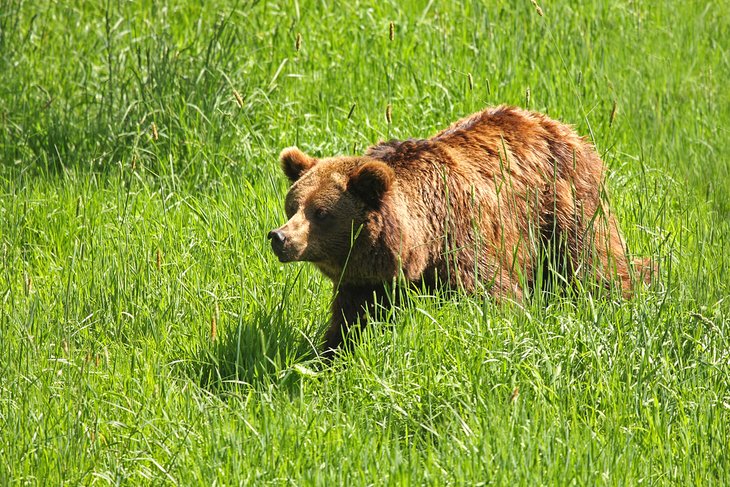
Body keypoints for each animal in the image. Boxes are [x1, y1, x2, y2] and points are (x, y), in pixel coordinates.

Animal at [270, 106, 644, 358]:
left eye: (321, 213)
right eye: (293, 206)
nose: (280, 237)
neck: (420, 246)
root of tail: (557, 125)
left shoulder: (464, 245)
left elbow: (496, 299)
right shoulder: (368, 283)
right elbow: (351, 324)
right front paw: (330, 356)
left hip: (564, 204)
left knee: (590, 265)